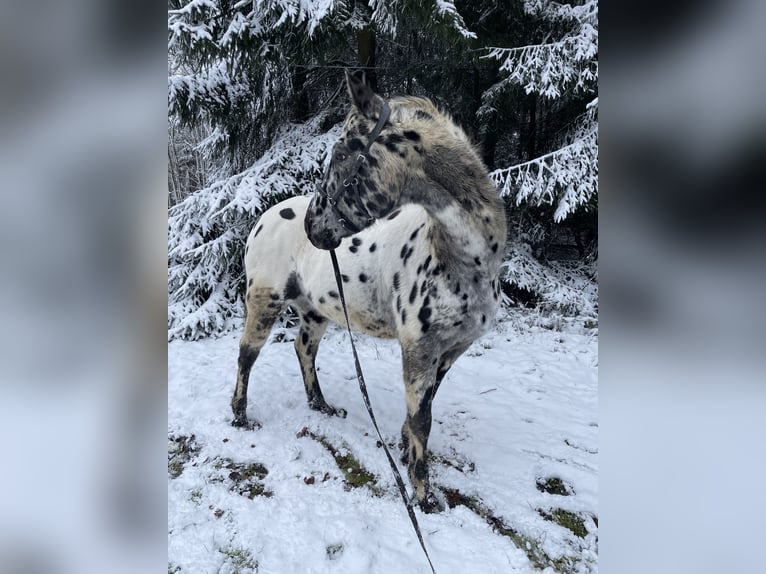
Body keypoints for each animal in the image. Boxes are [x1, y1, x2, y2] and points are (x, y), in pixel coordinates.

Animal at [234, 70, 510, 516]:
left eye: (343, 151)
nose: (312, 226)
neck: (466, 262)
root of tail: (264, 218)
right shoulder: (419, 347)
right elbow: (422, 420)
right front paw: (424, 496)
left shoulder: (450, 351)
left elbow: (423, 409)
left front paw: (405, 454)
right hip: (264, 301)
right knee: (247, 355)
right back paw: (240, 417)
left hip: (315, 312)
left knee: (303, 349)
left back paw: (321, 406)